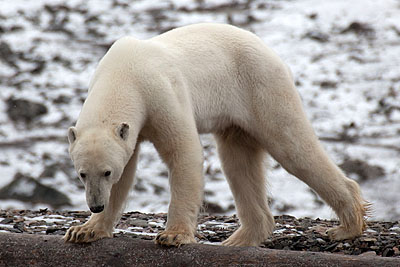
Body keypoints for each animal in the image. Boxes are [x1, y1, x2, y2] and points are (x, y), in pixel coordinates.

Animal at [65, 24, 368, 248]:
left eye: (106, 172)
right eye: (82, 174)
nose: (95, 205)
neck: (124, 76)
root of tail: (269, 50)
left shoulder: (161, 95)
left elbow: (183, 152)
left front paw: (173, 235)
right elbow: (127, 170)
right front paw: (84, 230)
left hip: (261, 88)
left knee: (292, 146)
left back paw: (345, 228)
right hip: (237, 119)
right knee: (239, 164)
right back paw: (236, 241)